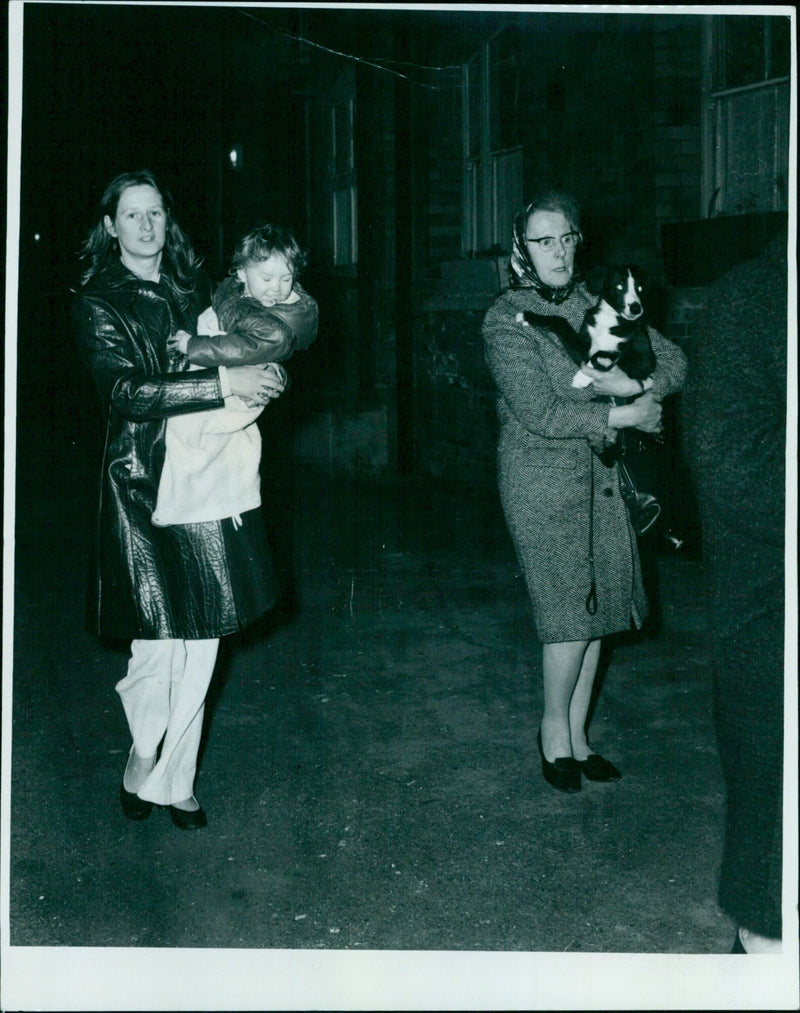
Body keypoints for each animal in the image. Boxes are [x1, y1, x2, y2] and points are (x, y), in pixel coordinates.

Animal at [518, 263, 656, 388]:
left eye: (640, 288)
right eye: (619, 286)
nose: (636, 308)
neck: (611, 318)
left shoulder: (644, 362)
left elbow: (607, 353)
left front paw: (583, 377)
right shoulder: (582, 350)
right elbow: (560, 321)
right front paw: (529, 317)